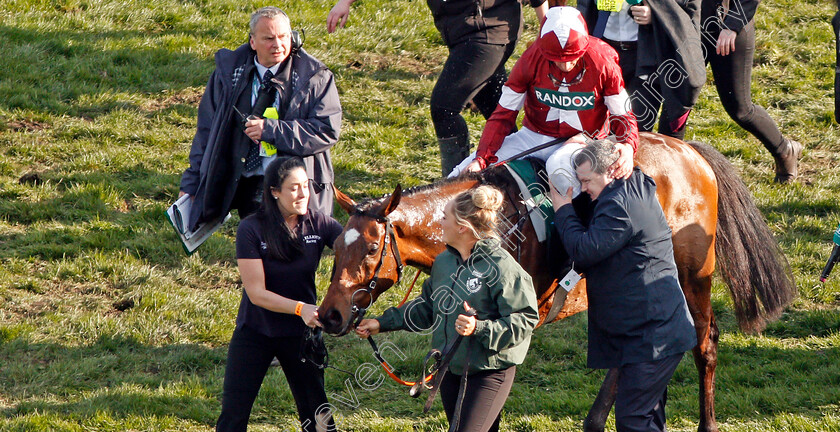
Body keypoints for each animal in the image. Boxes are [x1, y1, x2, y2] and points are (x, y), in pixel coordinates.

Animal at [316, 132, 796, 432]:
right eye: (336, 244)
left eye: (371, 247)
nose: (330, 314)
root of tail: (688, 150)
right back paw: (597, 419)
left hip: (694, 275)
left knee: (704, 342)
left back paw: (705, 421)